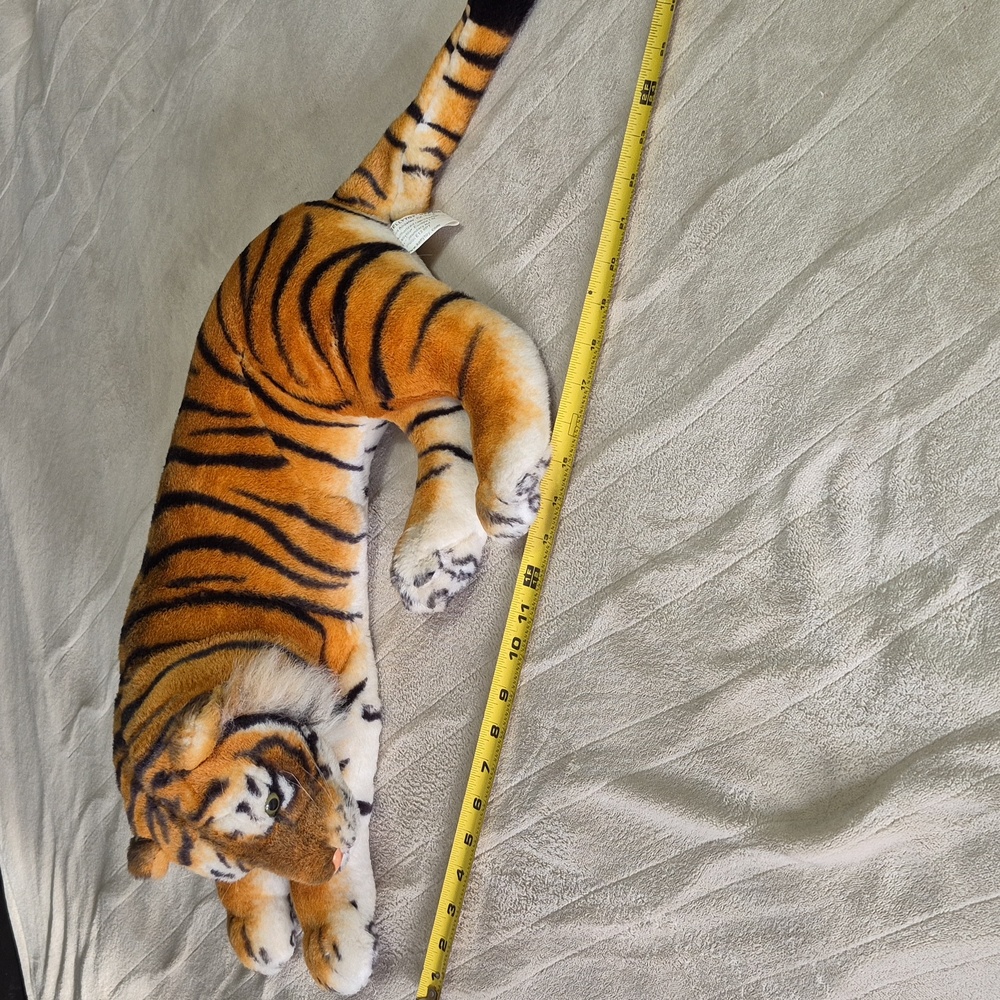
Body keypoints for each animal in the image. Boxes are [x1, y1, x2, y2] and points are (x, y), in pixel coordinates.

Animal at [112, 0, 549, 992]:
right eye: (231, 859)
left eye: (274, 799)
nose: (339, 855)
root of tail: (304, 214)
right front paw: (258, 930)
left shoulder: (341, 694)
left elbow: (346, 791)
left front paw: (332, 938)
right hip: (372, 374)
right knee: (440, 415)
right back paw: (436, 557)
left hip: (351, 325)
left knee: (484, 335)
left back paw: (509, 482)